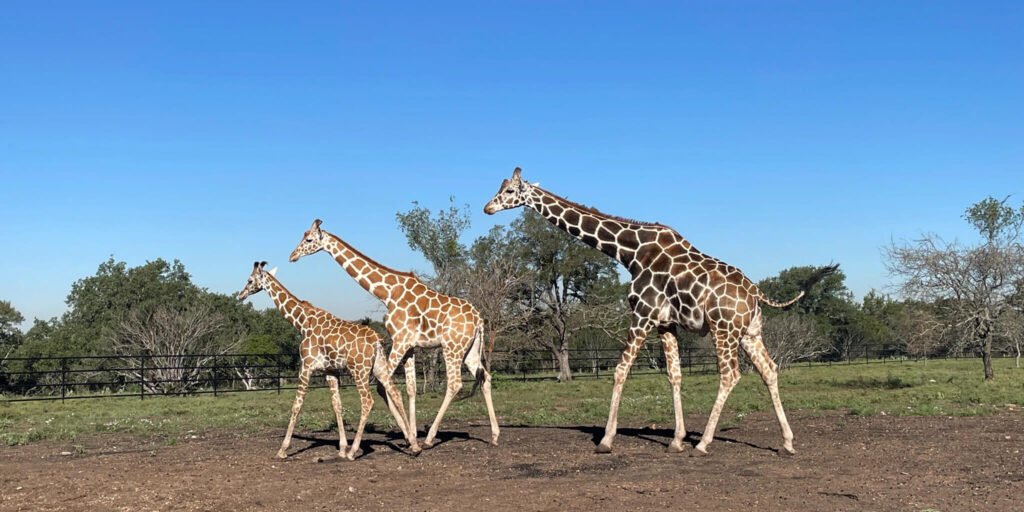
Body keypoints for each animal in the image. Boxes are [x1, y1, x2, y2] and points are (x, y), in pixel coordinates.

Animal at [237, 261, 421, 460]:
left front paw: (283, 449)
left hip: (359, 370)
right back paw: (414, 445)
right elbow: (337, 405)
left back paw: (354, 451)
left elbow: (296, 405)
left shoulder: (306, 366)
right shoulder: (330, 371)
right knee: (395, 392)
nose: (240, 295)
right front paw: (341, 448)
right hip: (379, 367)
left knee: (367, 401)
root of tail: (377, 340)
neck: (302, 322)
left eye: (249, 280)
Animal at [289, 220, 500, 448]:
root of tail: (479, 320)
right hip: (470, 349)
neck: (387, 293)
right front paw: (411, 434)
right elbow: (410, 388)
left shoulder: (400, 340)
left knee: (454, 383)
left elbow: (383, 387)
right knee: (485, 376)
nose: (292, 256)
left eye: (308, 239)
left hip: (452, 347)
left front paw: (410, 437)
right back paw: (495, 435)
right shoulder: (409, 346)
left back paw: (430, 437)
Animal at [484, 168, 837, 456]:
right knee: (770, 369)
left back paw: (704, 443)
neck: (629, 252)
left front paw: (606, 440)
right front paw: (677, 440)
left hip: (723, 329)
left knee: (730, 374)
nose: (488, 207)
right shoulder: (666, 324)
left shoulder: (643, 314)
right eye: (499, 188)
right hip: (749, 332)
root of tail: (755, 293)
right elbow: (674, 375)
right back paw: (787, 442)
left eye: (509, 191)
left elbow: (620, 370)